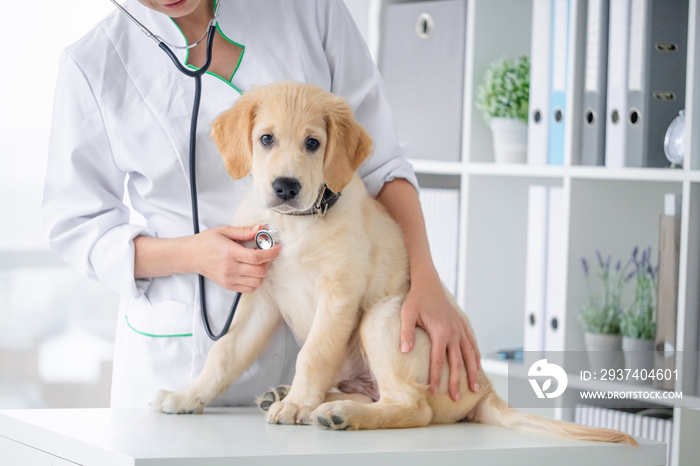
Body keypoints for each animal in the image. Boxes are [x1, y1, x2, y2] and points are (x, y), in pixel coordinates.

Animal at [150, 82, 636, 446]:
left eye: (313, 143)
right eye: (265, 138)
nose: (285, 187)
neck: (295, 225)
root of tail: (485, 387)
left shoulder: (339, 296)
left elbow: (314, 353)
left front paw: (298, 403)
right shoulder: (258, 299)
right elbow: (224, 355)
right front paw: (189, 396)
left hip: (382, 317)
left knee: (412, 406)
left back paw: (334, 412)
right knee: (383, 396)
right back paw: (299, 395)